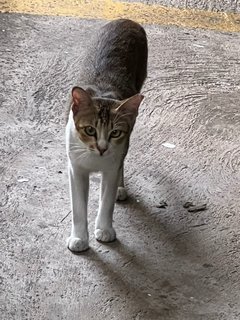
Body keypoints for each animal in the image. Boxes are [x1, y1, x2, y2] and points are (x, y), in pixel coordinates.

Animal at [66, 18, 148, 252]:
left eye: (115, 132)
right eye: (90, 130)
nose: (102, 148)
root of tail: (126, 20)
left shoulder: (113, 162)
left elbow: (107, 200)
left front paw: (104, 229)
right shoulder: (75, 168)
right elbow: (78, 207)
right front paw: (79, 237)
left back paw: (121, 188)